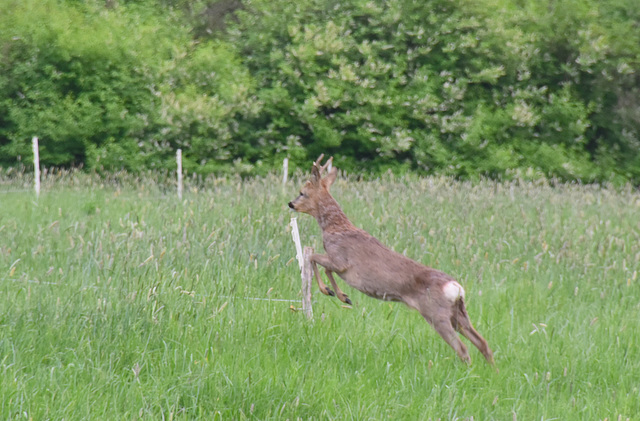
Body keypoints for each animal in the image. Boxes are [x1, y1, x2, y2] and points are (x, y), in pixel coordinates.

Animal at [290, 156, 496, 362]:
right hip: (458, 313)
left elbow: (314, 259)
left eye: (302, 192)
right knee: (483, 343)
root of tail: (456, 288)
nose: (290, 203)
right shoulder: (338, 262)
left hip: (436, 313)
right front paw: (342, 295)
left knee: (463, 349)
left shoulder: (340, 260)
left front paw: (331, 291)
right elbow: (321, 264)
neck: (335, 228)